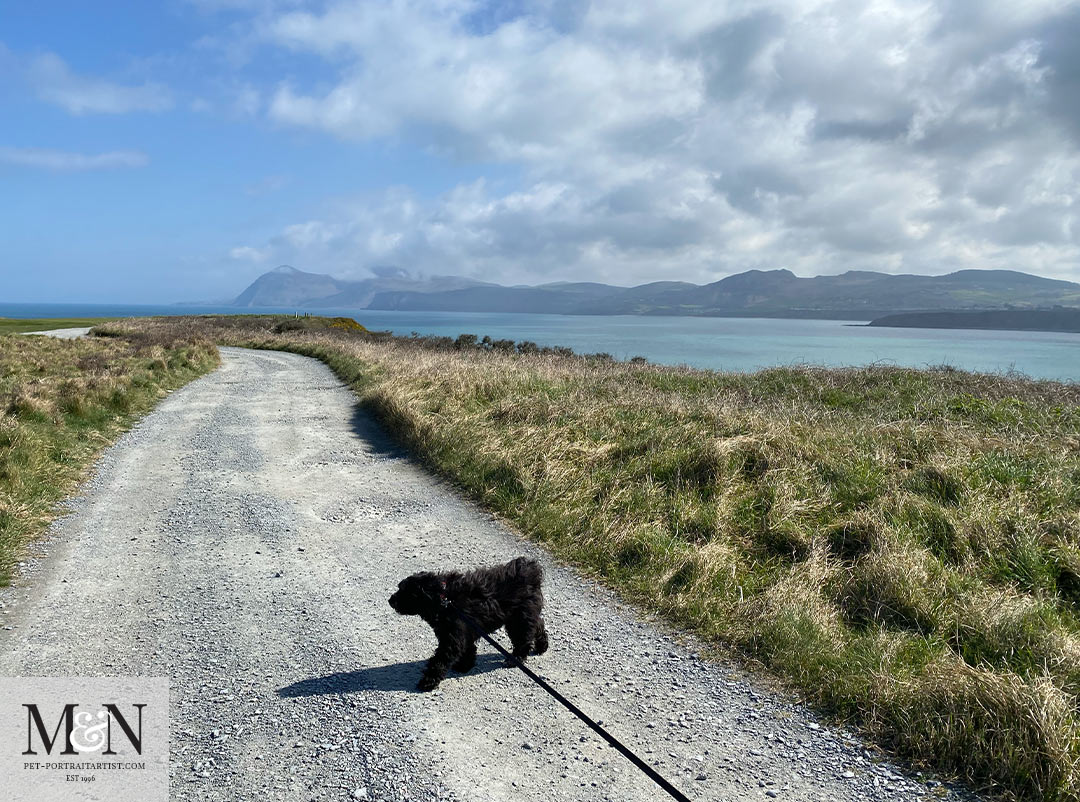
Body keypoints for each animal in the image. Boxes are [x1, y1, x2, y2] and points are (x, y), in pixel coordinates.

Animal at [390, 556, 548, 690]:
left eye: (405, 593)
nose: (390, 600)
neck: (444, 598)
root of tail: (531, 569)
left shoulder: (452, 638)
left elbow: (439, 661)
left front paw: (428, 681)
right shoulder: (463, 633)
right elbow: (468, 650)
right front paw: (465, 666)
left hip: (519, 619)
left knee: (524, 640)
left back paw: (515, 659)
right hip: (525, 615)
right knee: (538, 626)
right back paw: (541, 647)